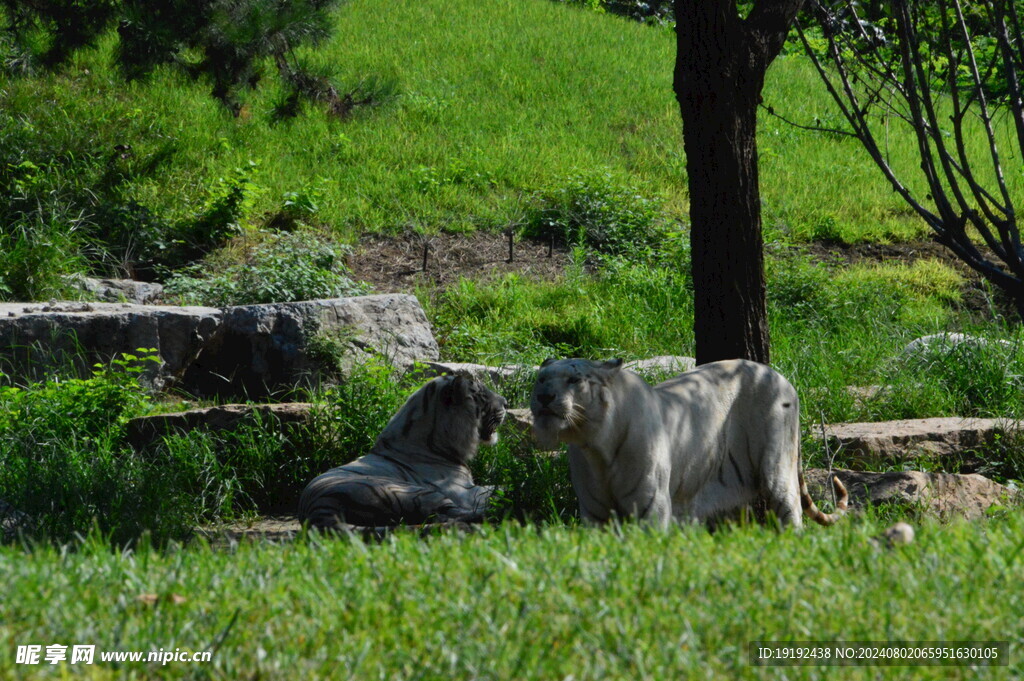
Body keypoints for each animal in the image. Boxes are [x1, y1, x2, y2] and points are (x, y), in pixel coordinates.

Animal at [299, 374, 507, 528]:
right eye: (483, 394)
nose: (506, 402)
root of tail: (317, 508)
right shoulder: (463, 491)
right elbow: (494, 488)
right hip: (411, 491)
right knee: (446, 513)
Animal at [528, 358, 847, 528]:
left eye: (573, 380)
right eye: (541, 379)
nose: (544, 397)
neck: (594, 445)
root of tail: (779, 375)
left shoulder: (651, 505)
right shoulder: (595, 512)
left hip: (777, 467)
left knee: (791, 509)